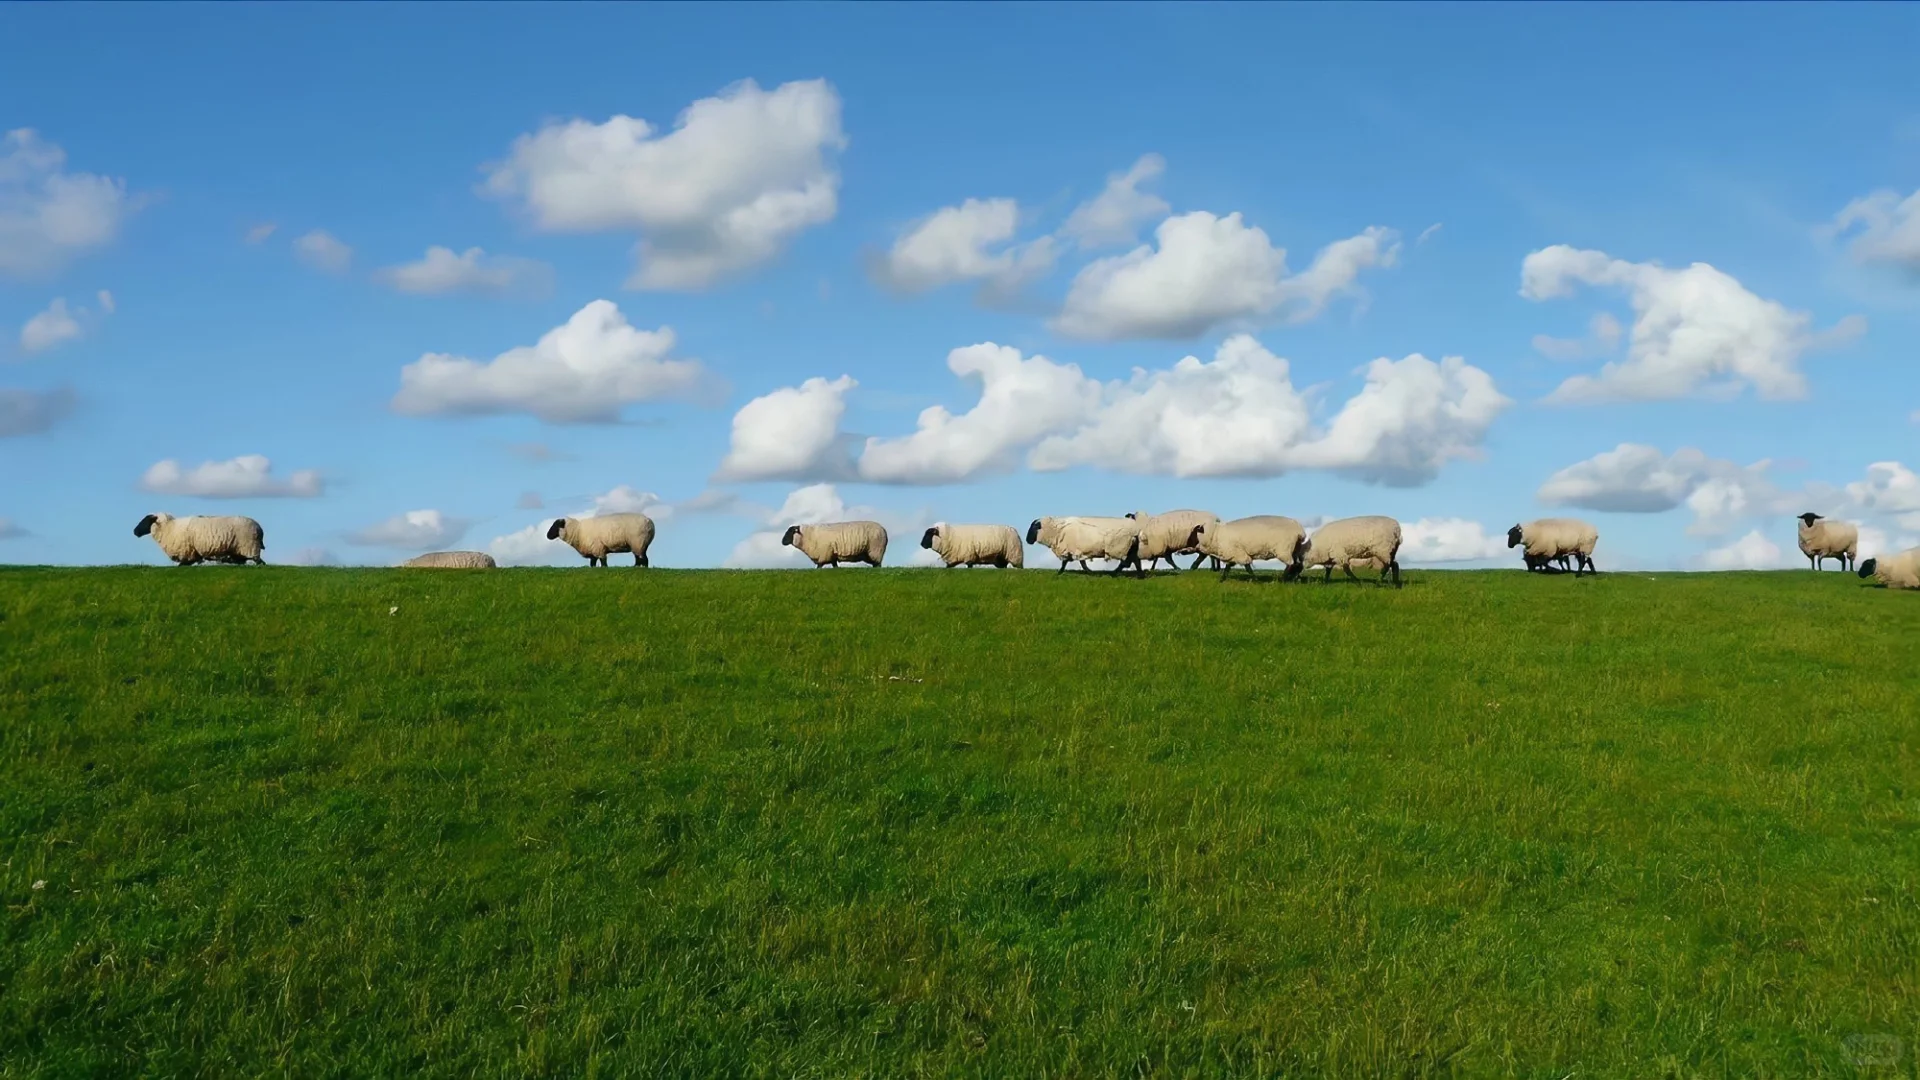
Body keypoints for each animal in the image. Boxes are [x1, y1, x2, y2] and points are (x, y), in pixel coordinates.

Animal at [133, 511, 264, 564]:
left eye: (146, 521)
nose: (135, 532)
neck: (170, 527)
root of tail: (259, 528)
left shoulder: (187, 553)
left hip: (250, 547)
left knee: (260, 562)